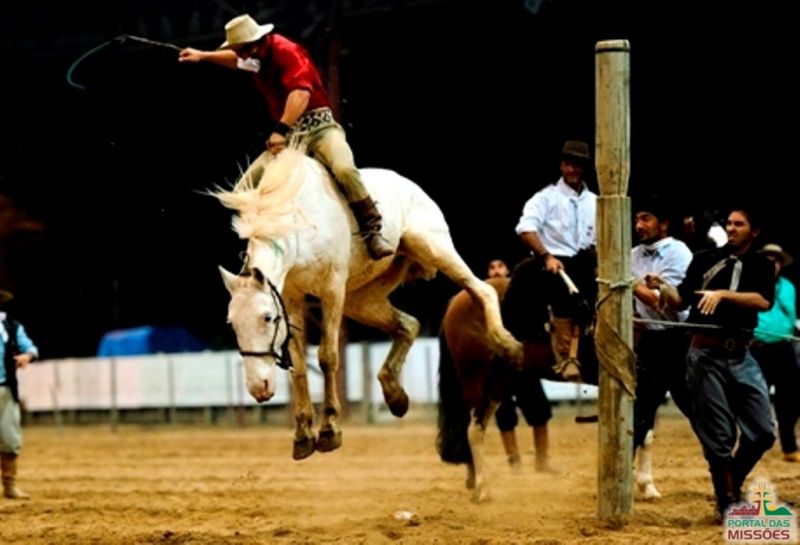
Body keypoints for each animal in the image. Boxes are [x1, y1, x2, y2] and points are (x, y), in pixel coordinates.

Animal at [216, 149, 520, 460]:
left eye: (267, 317)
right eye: (232, 324)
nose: (258, 388)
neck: (299, 225)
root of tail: (408, 185)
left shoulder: (332, 291)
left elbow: (327, 357)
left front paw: (330, 430)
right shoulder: (292, 297)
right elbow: (299, 366)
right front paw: (302, 436)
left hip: (434, 248)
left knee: (482, 290)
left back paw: (507, 344)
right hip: (362, 298)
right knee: (408, 325)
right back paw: (395, 396)